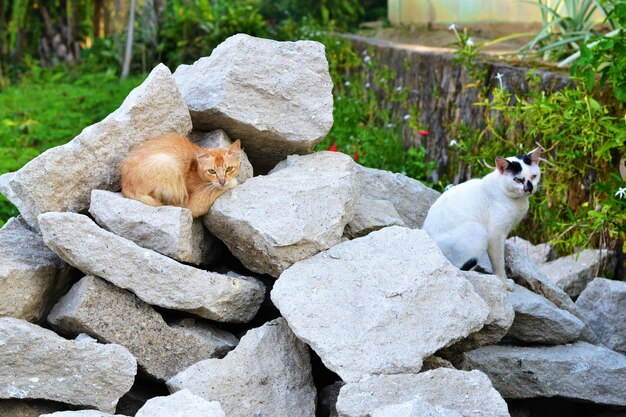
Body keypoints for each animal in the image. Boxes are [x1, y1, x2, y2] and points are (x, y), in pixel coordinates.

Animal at [422, 146, 544, 290]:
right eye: (518, 180)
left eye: (534, 176)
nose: (529, 188)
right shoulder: (495, 235)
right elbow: (499, 262)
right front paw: (504, 283)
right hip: (477, 230)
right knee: (460, 269)